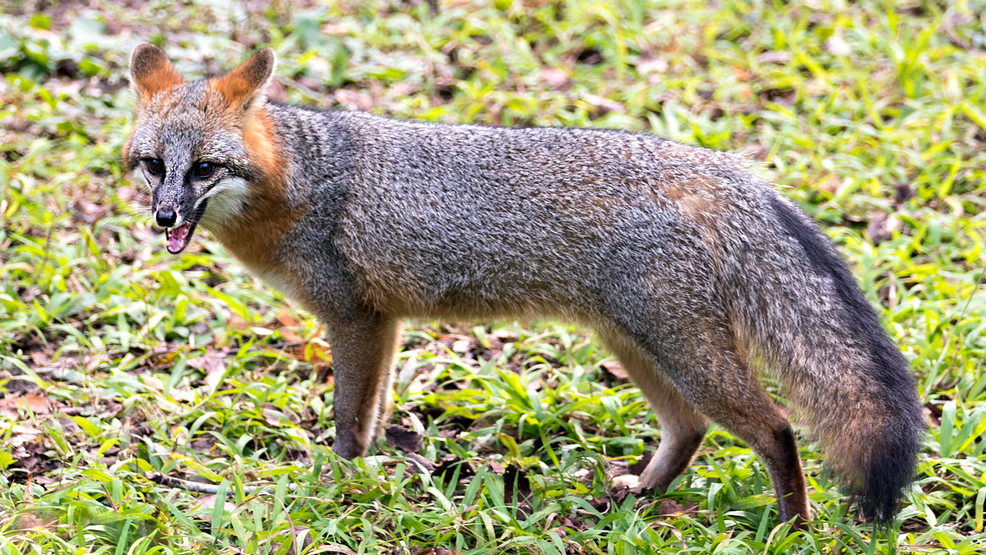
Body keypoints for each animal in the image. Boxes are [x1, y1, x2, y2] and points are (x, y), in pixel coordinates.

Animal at [123, 44, 924, 526]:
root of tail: (720, 168)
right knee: (691, 428)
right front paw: (370, 472)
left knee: (777, 428)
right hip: (635, 343)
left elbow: (350, 417)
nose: (164, 215)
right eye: (153, 165)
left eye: (204, 169)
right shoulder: (383, 321)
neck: (300, 179)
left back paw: (790, 525)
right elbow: (375, 410)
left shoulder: (352, 317)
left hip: (681, 350)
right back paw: (643, 491)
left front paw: (338, 480)